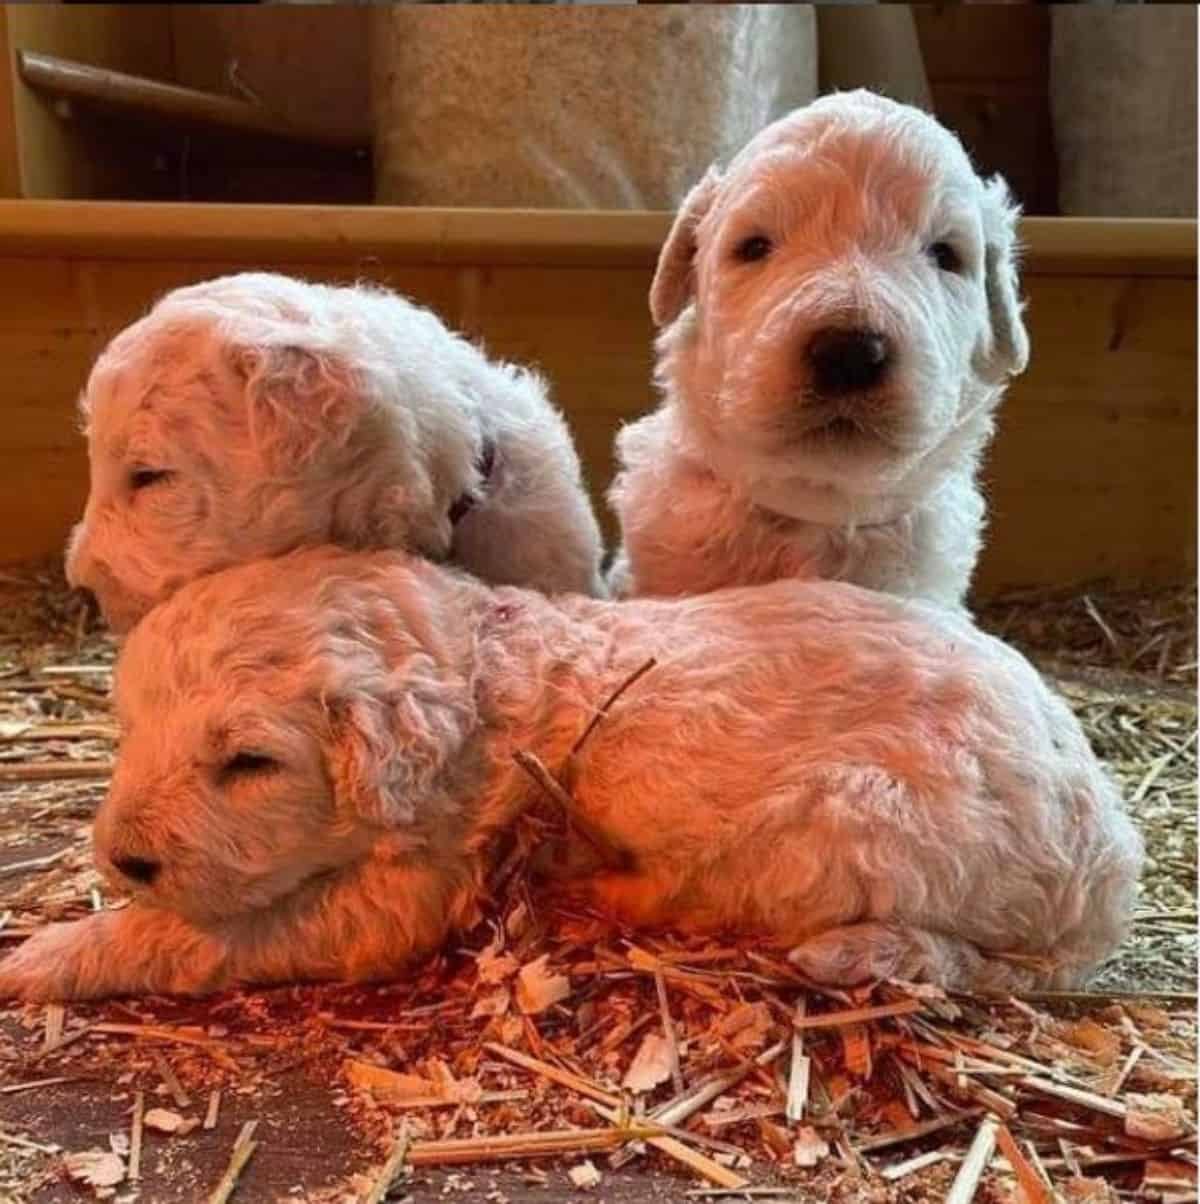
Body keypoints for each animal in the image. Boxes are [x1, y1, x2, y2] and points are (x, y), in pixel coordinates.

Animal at [2, 546, 1141, 996]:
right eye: (131, 725)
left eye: (249, 762)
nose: (122, 857)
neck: (479, 673)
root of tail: (1111, 862)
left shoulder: (404, 894)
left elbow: (210, 935)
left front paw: (50, 953)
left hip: (850, 824)